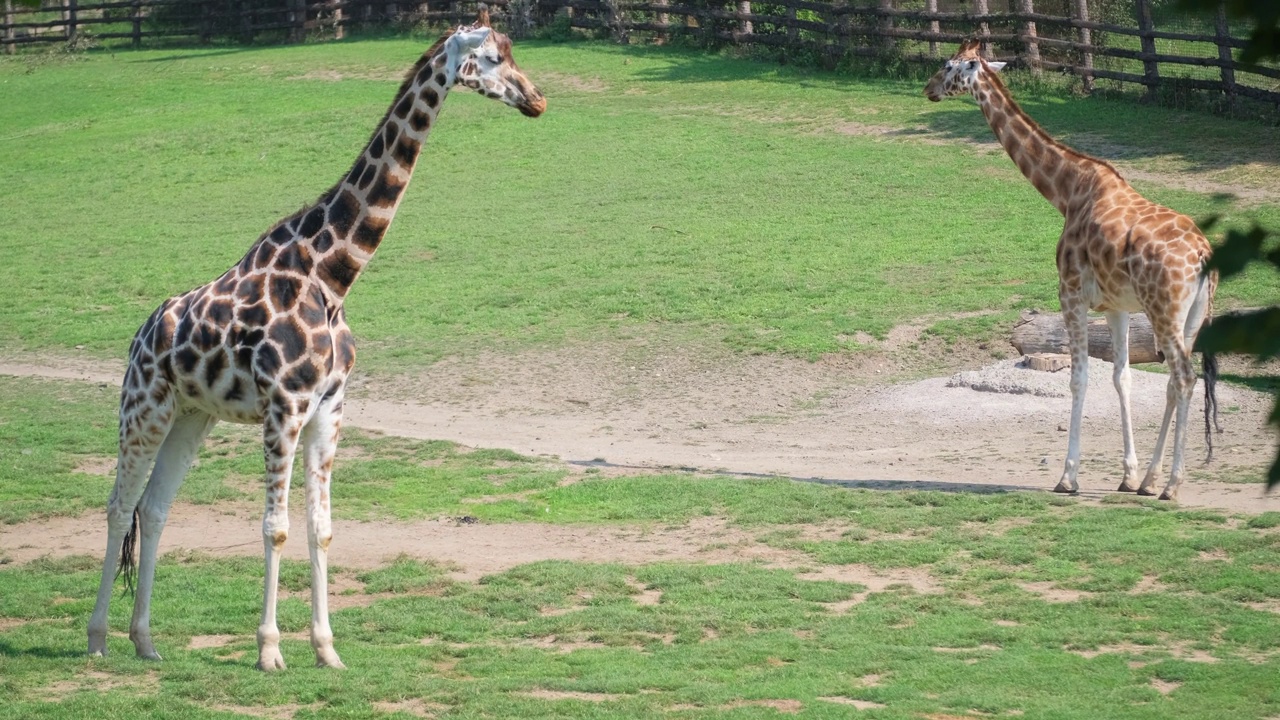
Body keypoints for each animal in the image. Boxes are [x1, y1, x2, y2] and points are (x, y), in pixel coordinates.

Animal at [85, 7, 545, 666]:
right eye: (491, 59)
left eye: (513, 54)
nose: (536, 99)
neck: (332, 275)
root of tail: (141, 335)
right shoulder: (284, 405)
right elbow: (274, 527)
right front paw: (270, 651)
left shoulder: (329, 406)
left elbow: (319, 528)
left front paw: (327, 649)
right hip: (142, 406)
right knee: (120, 506)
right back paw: (98, 639)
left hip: (191, 415)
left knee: (155, 506)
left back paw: (145, 641)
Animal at [921, 39, 1218, 499]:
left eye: (948, 66)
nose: (929, 88)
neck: (1066, 192)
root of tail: (1204, 256)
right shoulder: (1117, 306)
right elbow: (1122, 376)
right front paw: (1129, 475)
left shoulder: (1071, 292)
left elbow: (1079, 378)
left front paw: (1068, 476)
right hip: (1192, 318)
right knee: (1175, 381)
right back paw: (1152, 481)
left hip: (1164, 311)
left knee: (1183, 377)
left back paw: (1171, 485)